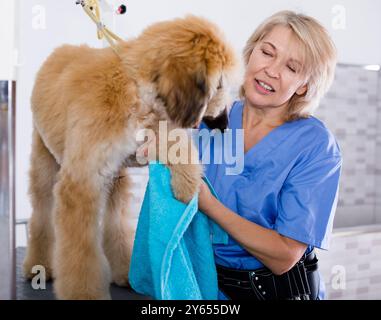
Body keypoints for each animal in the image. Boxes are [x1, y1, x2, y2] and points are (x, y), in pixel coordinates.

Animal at [22, 15, 236, 300]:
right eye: (220, 84)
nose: (224, 124)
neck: (135, 88)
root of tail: (59, 51)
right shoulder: (81, 183)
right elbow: (80, 251)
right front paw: (83, 292)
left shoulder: (143, 143)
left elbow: (175, 145)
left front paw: (186, 183)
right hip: (45, 164)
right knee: (42, 215)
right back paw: (40, 265)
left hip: (116, 179)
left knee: (116, 224)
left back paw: (124, 270)